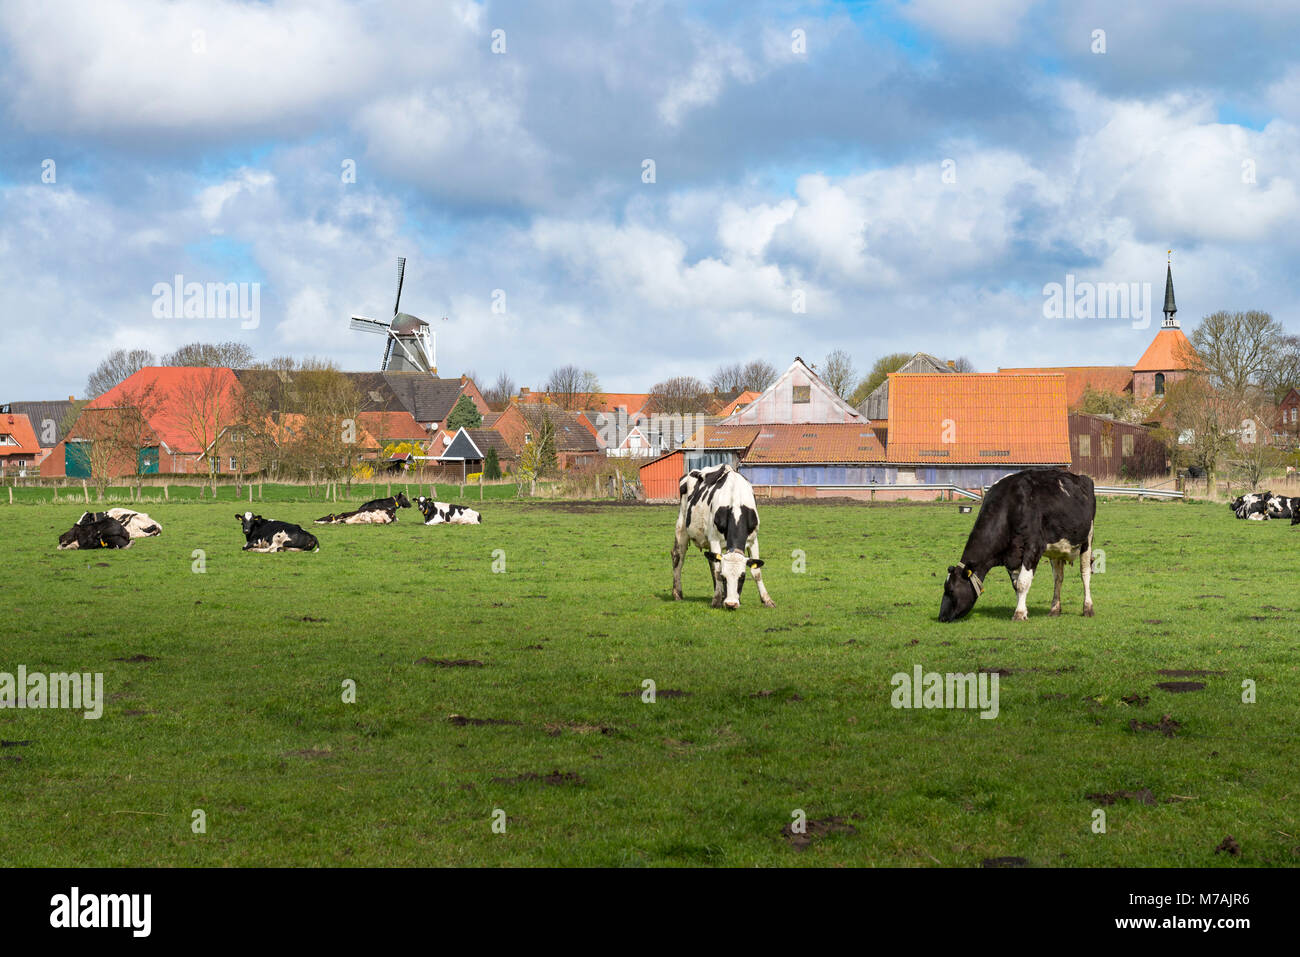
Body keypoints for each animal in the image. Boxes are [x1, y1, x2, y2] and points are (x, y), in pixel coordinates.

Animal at [670, 465, 769, 613]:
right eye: (724, 576)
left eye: (742, 577)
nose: (731, 604)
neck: (736, 501)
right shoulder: (714, 539)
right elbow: (716, 570)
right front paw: (717, 600)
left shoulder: (753, 540)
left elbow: (756, 572)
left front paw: (767, 600)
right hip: (682, 523)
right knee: (678, 556)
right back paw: (677, 593)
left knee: (711, 562)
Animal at [935, 468, 1097, 621]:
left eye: (950, 590)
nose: (942, 617)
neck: (1011, 506)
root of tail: (1081, 477)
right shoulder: (1011, 554)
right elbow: (1016, 585)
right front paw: (1023, 610)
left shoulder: (1033, 547)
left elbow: (1023, 582)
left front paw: (1019, 613)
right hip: (1056, 549)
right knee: (1058, 578)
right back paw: (1055, 609)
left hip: (1087, 540)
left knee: (1085, 574)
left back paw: (1088, 608)